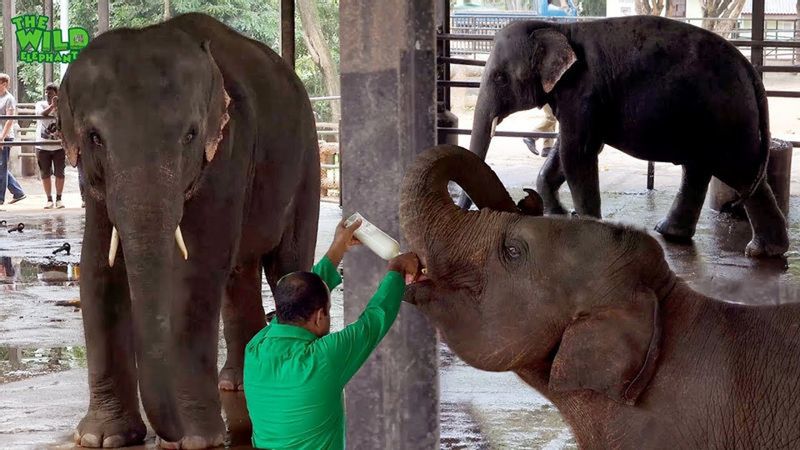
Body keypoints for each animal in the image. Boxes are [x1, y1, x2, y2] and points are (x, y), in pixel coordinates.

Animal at [57, 12, 318, 448]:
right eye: (94, 137)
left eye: (190, 135)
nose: (167, 432)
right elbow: (97, 267)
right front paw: (102, 438)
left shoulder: (228, 149)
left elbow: (195, 270)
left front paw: (196, 440)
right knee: (239, 272)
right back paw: (236, 382)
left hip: (307, 163)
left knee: (287, 264)